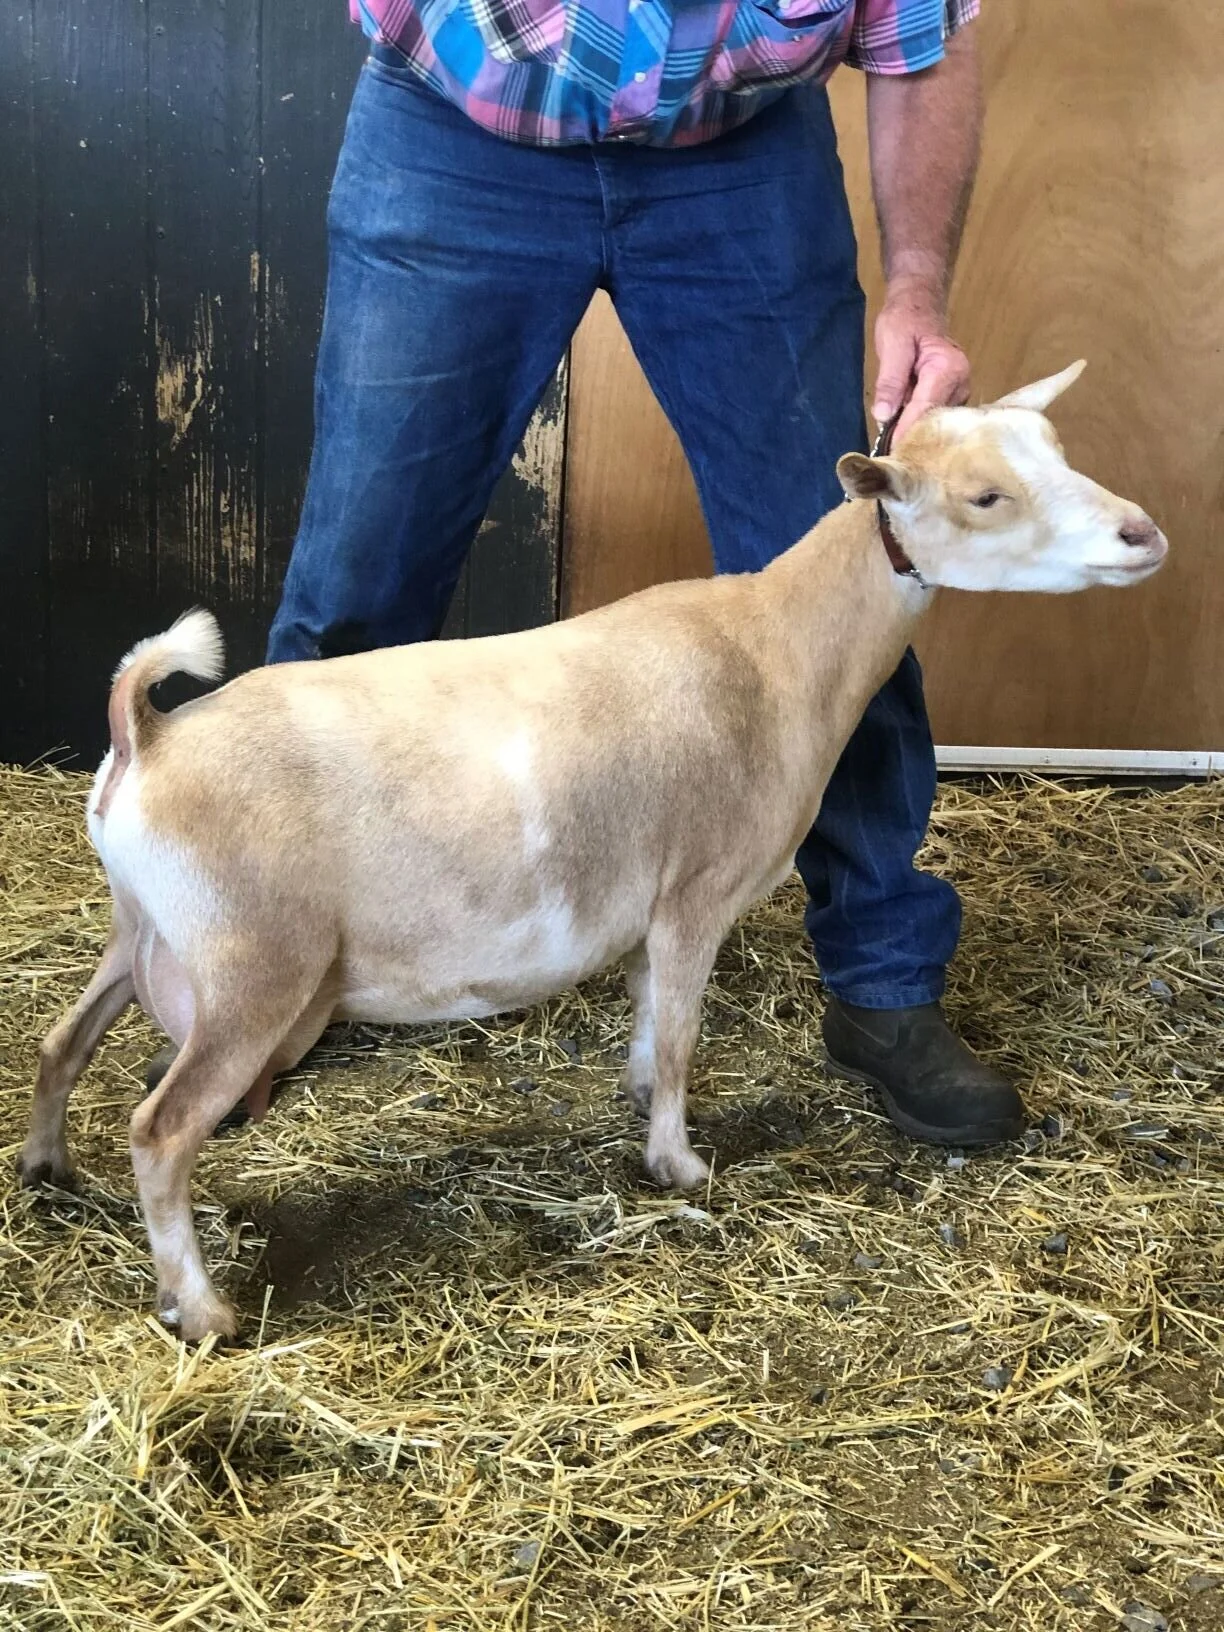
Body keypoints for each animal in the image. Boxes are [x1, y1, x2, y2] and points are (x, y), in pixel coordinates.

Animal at [20, 361, 1167, 1341]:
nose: (1142, 533)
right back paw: (200, 1308)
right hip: (252, 965)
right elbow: (683, 1038)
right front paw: (679, 1165)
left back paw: (46, 1168)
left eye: (1056, 449)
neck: (778, 650)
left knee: (61, 1042)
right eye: (985, 496)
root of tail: (146, 738)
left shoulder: (652, 906)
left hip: (143, 931)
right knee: (161, 1131)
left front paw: (639, 1109)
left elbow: (652, 1023)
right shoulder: (696, 892)